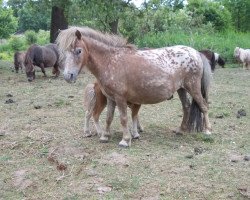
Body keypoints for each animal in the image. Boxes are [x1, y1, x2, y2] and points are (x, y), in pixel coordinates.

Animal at [56, 26, 213, 148]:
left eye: (78, 51)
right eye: (64, 52)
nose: (68, 76)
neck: (110, 60)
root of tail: (196, 53)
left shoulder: (120, 98)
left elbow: (123, 118)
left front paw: (125, 140)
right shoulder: (111, 98)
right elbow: (109, 117)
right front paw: (105, 136)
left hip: (193, 87)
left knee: (204, 106)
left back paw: (208, 131)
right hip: (181, 89)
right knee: (186, 107)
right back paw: (181, 130)